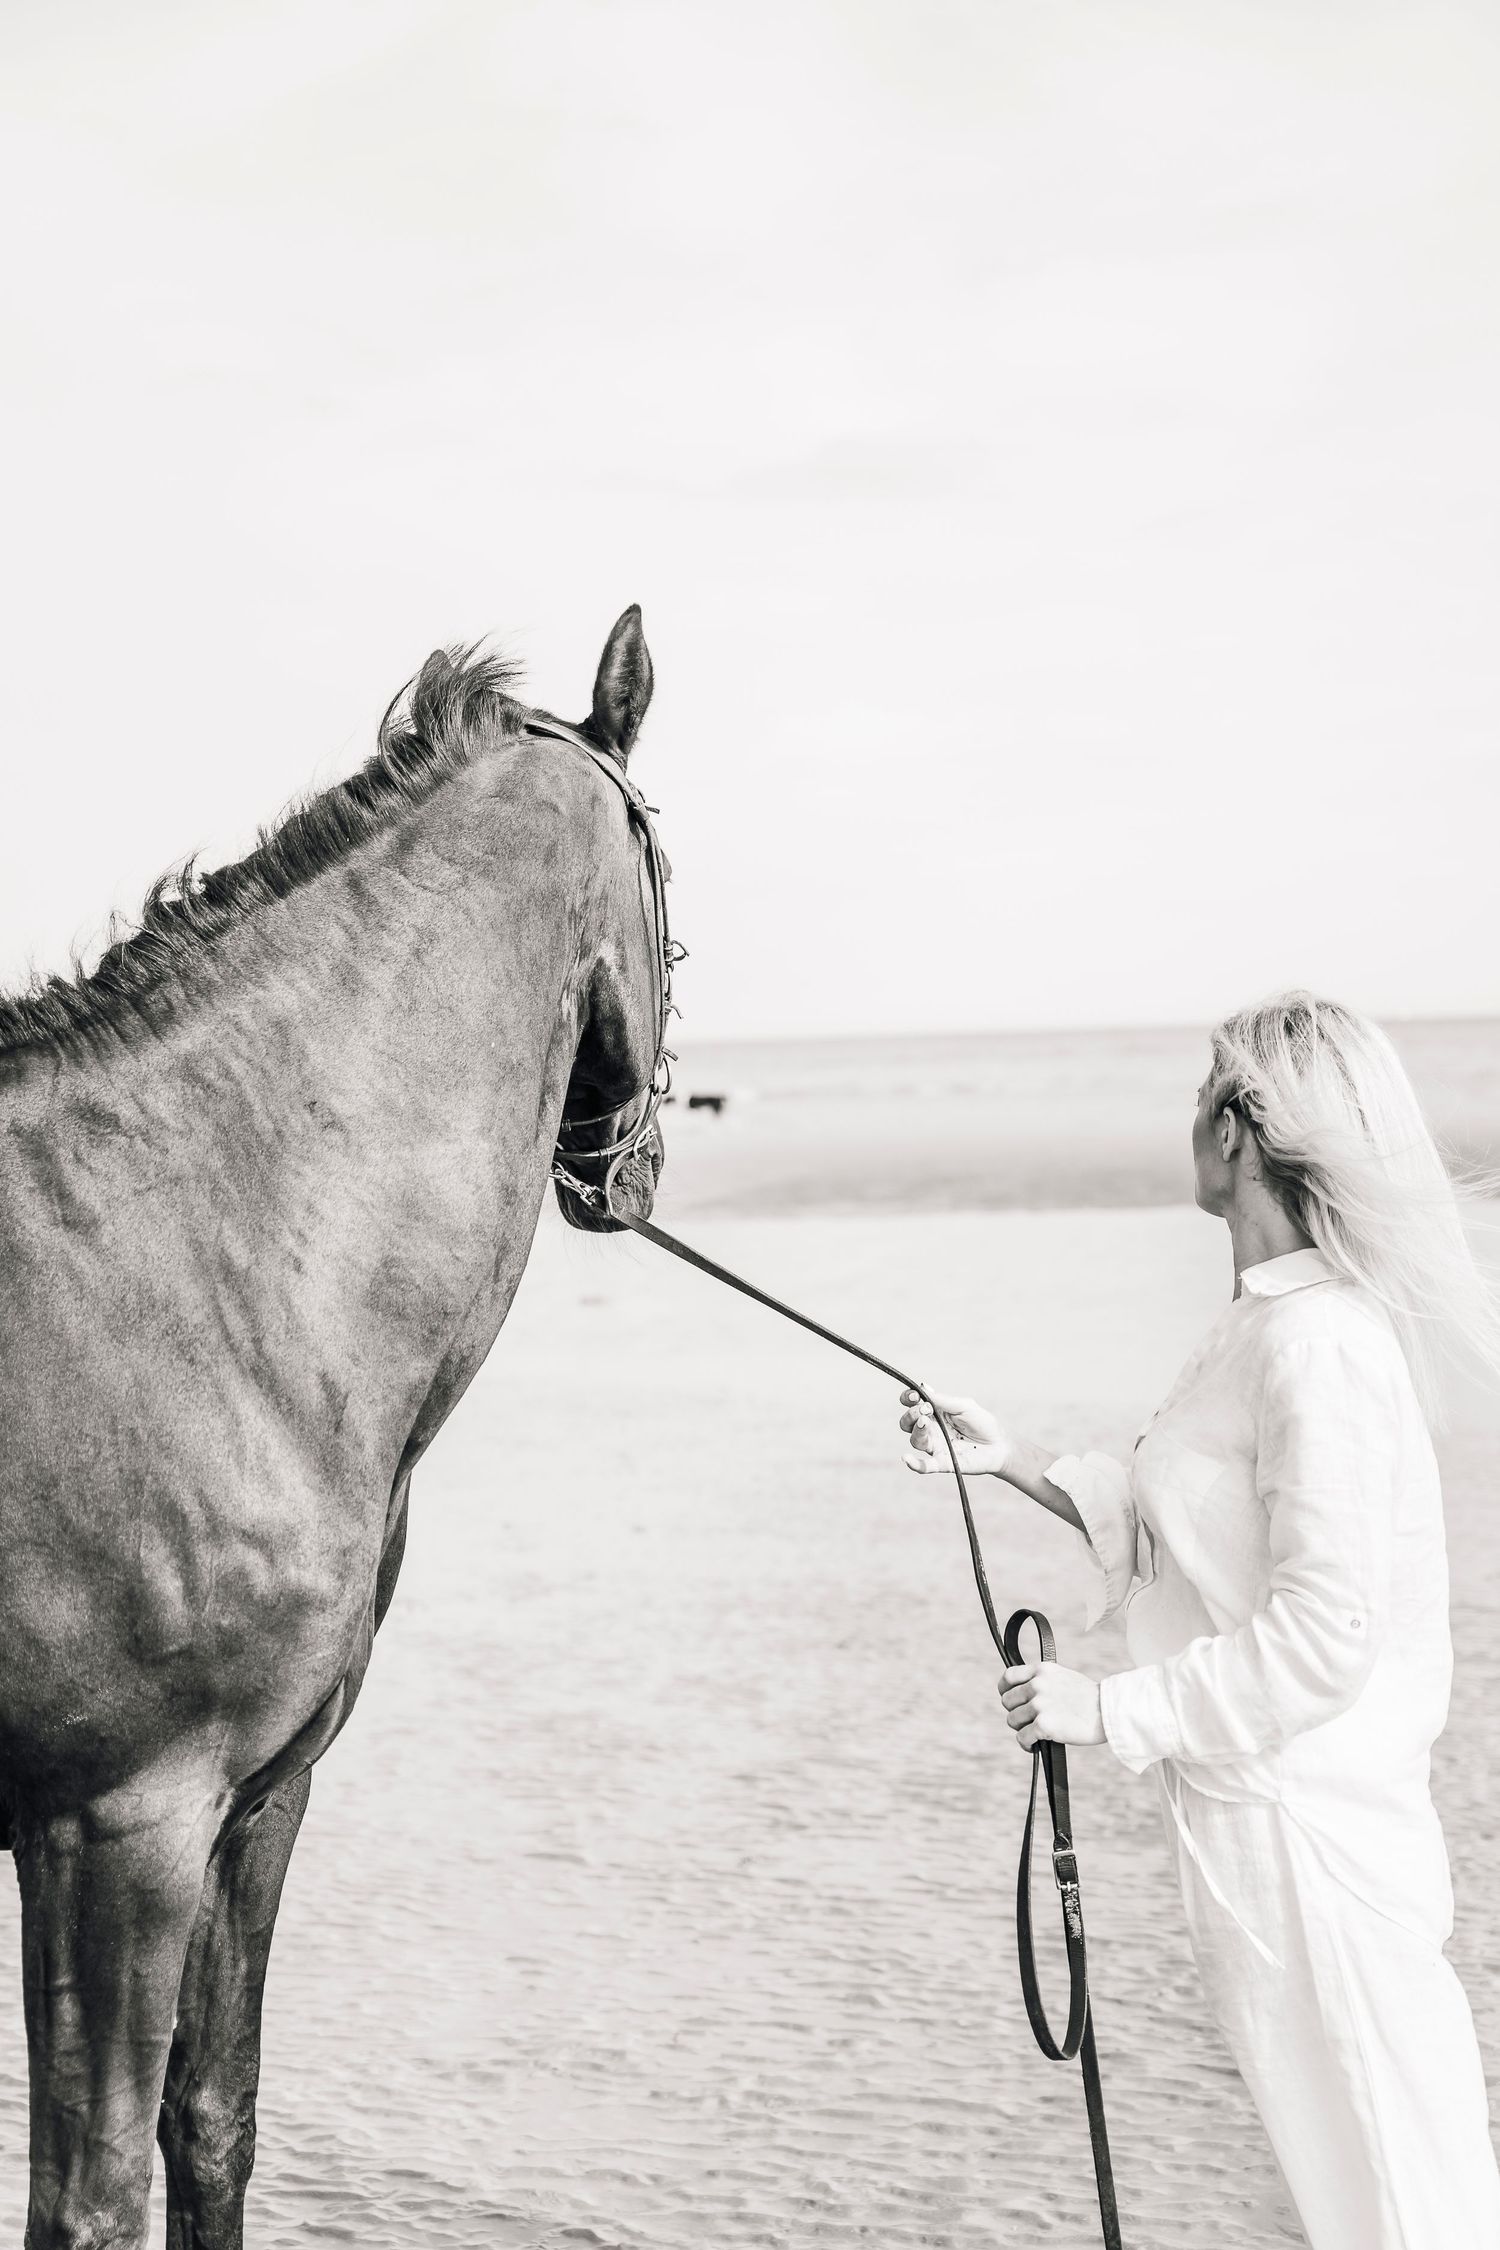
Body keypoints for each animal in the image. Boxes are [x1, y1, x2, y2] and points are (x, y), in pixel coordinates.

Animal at [0, 605, 668, 2249]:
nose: (633, 1168)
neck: (220, 1271)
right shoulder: (115, 1827)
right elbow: (91, 2195)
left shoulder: (253, 1803)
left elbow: (212, 2123)